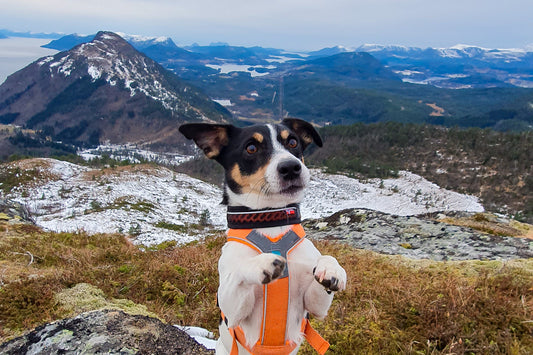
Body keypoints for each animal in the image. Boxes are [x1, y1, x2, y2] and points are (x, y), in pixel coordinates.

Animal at [179, 118, 344, 354]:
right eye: (251, 148)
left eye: (292, 142)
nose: (291, 167)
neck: (269, 219)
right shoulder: (232, 310)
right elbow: (239, 271)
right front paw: (261, 264)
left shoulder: (314, 305)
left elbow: (326, 264)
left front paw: (332, 269)